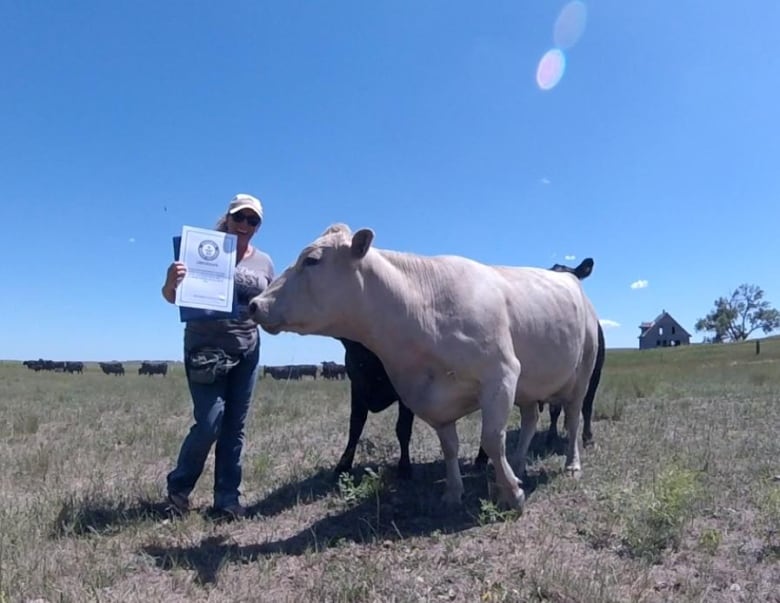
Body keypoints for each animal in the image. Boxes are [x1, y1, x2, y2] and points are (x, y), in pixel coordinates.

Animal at [247, 224, 600, 512]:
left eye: (312, 259)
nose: (254, 304)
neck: (423, 310)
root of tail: (571, 278)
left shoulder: (501, 376)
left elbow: (491, 439)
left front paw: (511, 494)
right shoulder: (432, 399)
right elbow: (449, 447)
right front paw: (454, 492)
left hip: (582, 375)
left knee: (572, 420)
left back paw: (571, 465)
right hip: (529, 386)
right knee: (529, 421)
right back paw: (519, 464)